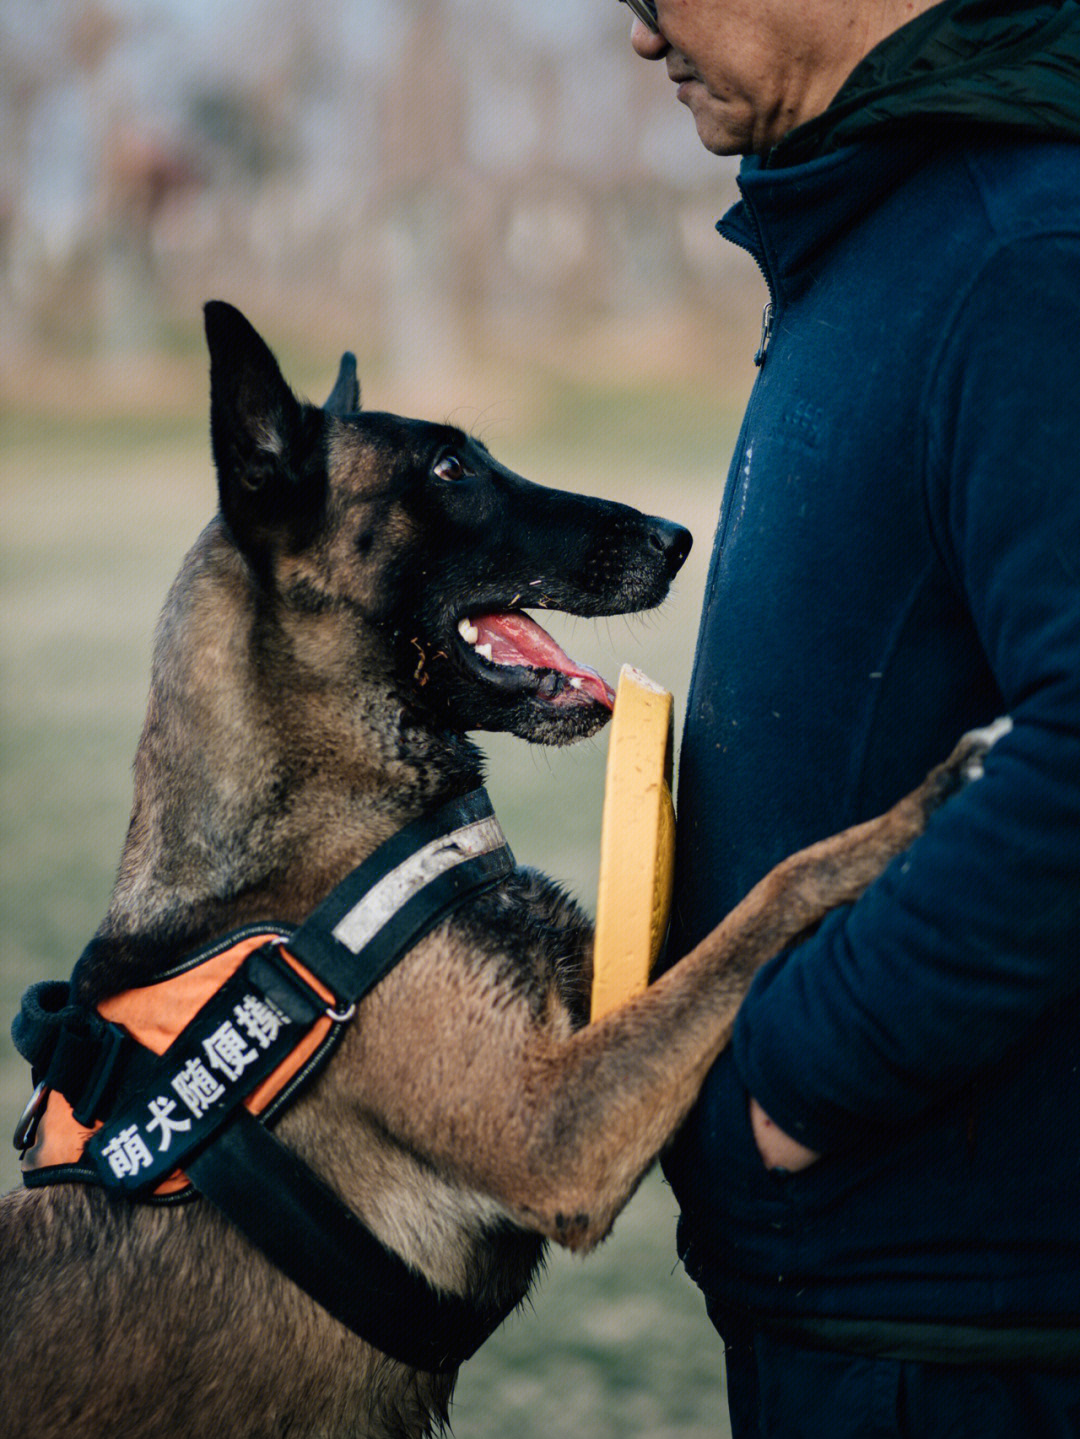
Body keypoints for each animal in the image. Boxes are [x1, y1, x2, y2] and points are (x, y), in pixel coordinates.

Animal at [0, 297, 1000, 1433]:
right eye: (448, 468)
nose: (676, 537)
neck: (326, 821)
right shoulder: (552, 1131)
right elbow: (765, 898)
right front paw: (921, 798)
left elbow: (706, 933)